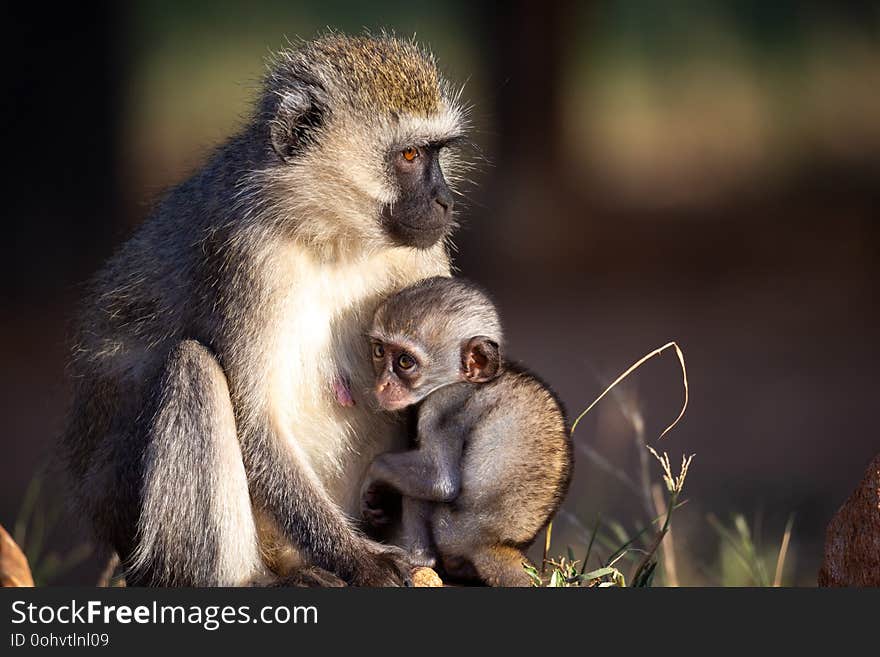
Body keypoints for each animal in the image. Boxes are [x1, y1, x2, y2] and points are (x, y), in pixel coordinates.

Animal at [61, 33, 468, 584]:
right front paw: (363, 560)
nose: (445, 201)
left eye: (438, 153)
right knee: (193, 370)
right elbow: (256, 419)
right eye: (409, 155)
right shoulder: (246, 256)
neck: (330, 236)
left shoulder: (424, 256)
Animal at [360, 276, 576, 584]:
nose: (383, 384)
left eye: (404, 362)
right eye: (379, 351)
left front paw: (373, 477)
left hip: (449, 529)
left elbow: (440, 480)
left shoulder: (441, 406)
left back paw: (418, 560)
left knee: (420, 494)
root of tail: (491, 544)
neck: (465, 381)